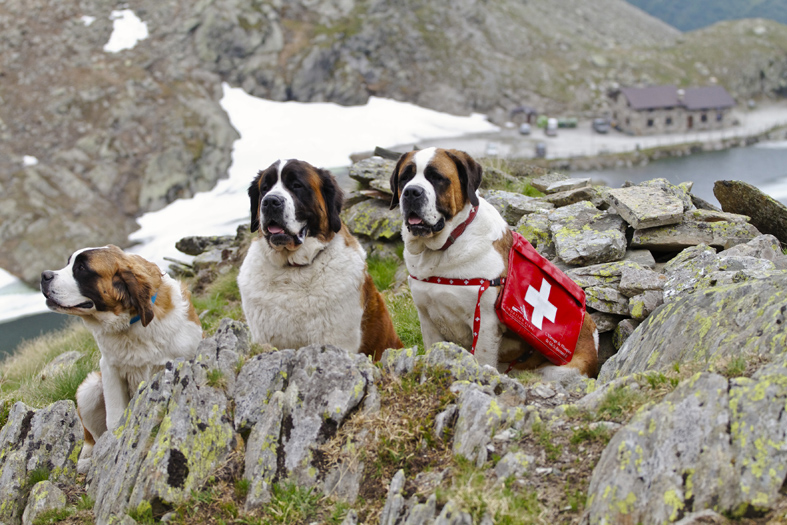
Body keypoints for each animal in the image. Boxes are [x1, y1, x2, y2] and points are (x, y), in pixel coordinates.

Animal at [40, 246, 203, 470]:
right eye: (69, 263)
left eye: (81, 268)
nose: (44, 275)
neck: (132, 321)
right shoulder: (109, 369)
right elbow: (115, 418)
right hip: (89, 389)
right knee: (91, 437)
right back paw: (86, 459)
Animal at [390, 145, 600, 378]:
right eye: (404, 178)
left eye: (436, 177)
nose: (411, 191)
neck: (445, 246)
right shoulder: (427, 317)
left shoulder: (485, 320)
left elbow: (482, 357)